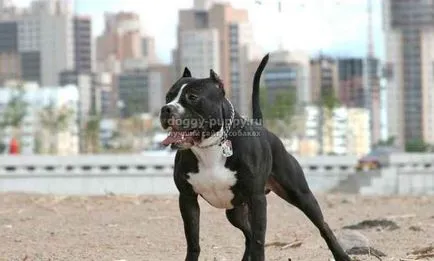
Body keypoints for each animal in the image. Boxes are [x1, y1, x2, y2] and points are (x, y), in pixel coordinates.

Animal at [159, 53, 352, 260]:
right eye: (168, 96)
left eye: (192, 97)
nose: (166, 109)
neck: (210, 147)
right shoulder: (187, 199)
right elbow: (193, 241)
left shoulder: (257, 199)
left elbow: (260, 240)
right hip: (235, 212)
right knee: (248, 235)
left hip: (301, 195)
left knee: (322, 226)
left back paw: (342, 255)